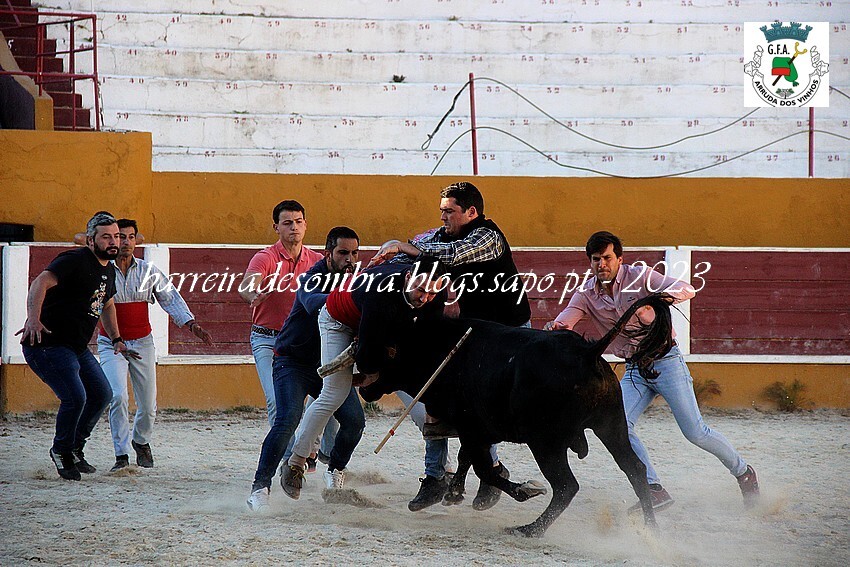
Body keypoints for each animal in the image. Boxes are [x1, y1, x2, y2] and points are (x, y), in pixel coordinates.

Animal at [361, 293, 674, 537]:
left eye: (386, 350)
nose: (361, 377)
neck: (441, 350)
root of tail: (588, 351)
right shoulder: (473, 429)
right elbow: (467, 459)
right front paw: (454, 493)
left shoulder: (472, 427)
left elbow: (482, 467)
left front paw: (524, 490)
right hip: (612, 426)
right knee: (634, 469)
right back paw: (651, 529)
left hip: (546, 443)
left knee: (566, 486)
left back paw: (529, 529)